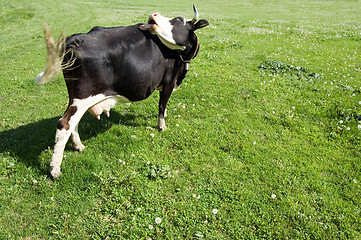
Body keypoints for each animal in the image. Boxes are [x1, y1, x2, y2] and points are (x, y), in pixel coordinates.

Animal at [35, 5, 210, 178]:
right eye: (179, 19)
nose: (153, 14)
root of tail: (77, 39)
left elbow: (164, 106)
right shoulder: (168, 82)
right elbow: (162, 105)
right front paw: (162, 126)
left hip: (75, 96)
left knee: (72, 122)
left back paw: (78, 146)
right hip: (83, 96)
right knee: (64, 124)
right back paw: (55, 169)